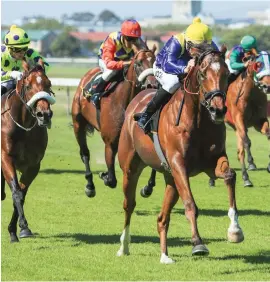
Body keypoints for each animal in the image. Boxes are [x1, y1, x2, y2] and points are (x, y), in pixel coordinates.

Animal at [0, 60, 56, 242]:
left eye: (48, 84)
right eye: (28, 85)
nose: (44, 114)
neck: (23, 126)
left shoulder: (33, 165)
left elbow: (21, 195)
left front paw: (17, 230)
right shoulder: (5, 158)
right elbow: (16, 192)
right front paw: (22, 225)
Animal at [70, 44, 157, 198]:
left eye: (155, 61)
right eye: (138, 63)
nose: (152, 85)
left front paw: (148, 187)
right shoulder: (110, 142)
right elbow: (111, 179)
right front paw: (104, 175)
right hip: (78, 123)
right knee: (85, 153)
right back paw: (90, 185)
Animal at [117, 47, 244, 264]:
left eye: (227, 74)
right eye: (202, 74)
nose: (218, 110)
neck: (199, 120)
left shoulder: (211, 162)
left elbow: (230, 175)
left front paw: (235, 230)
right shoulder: (179, 165)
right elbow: (190, 204)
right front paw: (198, 243)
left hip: (171, 179)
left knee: (162, 218)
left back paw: (164, 255)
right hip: (131, 168)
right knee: (129, 205)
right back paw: (124, 246)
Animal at [211, 52, 270, 187]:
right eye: (258, 65)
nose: (267, 86)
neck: (252, 94)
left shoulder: (259, 121)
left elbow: (268, 134)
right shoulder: (239, 119)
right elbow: (247, 142)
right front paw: (251, 164)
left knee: (239, 151)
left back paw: (245, 178)